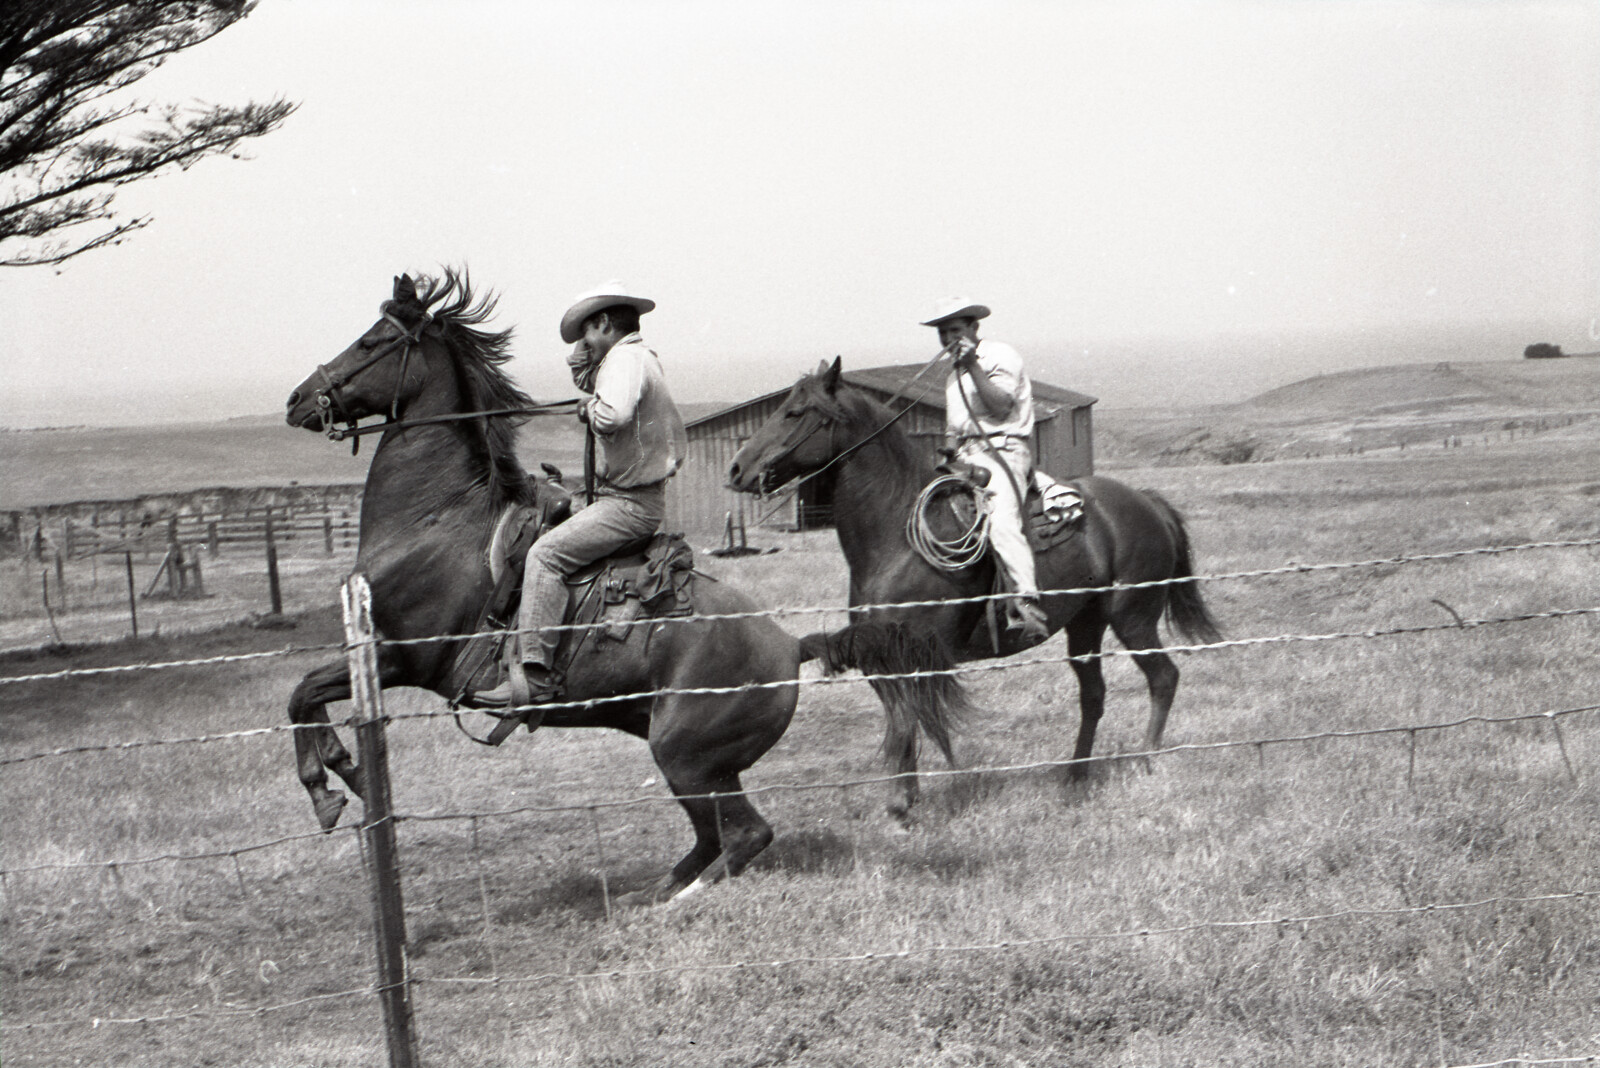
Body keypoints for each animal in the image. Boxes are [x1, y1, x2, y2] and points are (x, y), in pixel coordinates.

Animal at [281, 271, 800, 908]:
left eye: (371, 341)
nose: (298, 400)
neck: (435, 521)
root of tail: (792, 646)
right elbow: (305, 696)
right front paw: (340, 772)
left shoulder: (403, 656)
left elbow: (302, 694)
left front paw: (331, 785)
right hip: (686, 758)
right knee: (713, 835)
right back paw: (652, 891)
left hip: (687, 757)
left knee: (746, 833)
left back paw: (680, 898)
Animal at [732, 358, 1216, 818]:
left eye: (795, 412)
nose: (738, 468)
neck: (897, 539)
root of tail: (1145, 501)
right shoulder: (881, 654)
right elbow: (898, 717)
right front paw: (906, 797)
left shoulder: (918, 652)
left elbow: (906, 720)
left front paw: (901, 804)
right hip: (1086, 623)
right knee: (1093, 696)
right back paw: (1075, 776)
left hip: (1132, 617)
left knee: (1163, 678)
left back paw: (1147, 760)